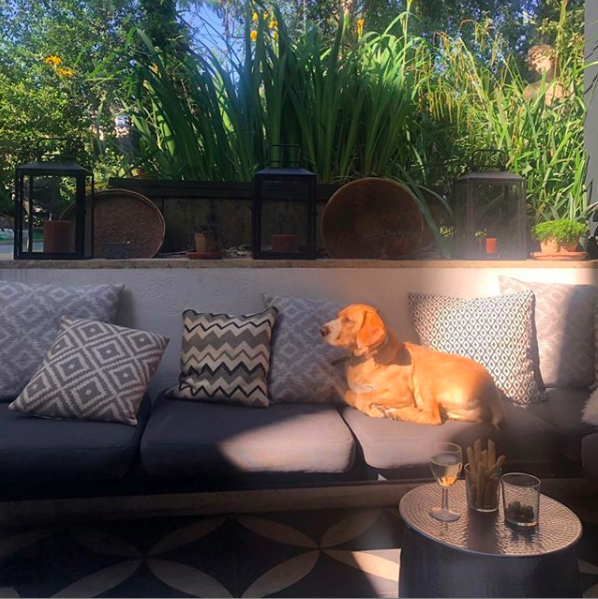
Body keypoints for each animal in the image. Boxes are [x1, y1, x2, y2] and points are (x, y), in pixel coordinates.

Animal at [322, 304, 504, 426]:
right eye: (338, 316)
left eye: (348, 320)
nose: (322, 330)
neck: (365, 359)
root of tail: (493, 394)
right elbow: (350, 394)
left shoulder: (402, 394)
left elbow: (360, 396)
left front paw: (373, 409)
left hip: (430, 379)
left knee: (433, 417)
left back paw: (397, 413)